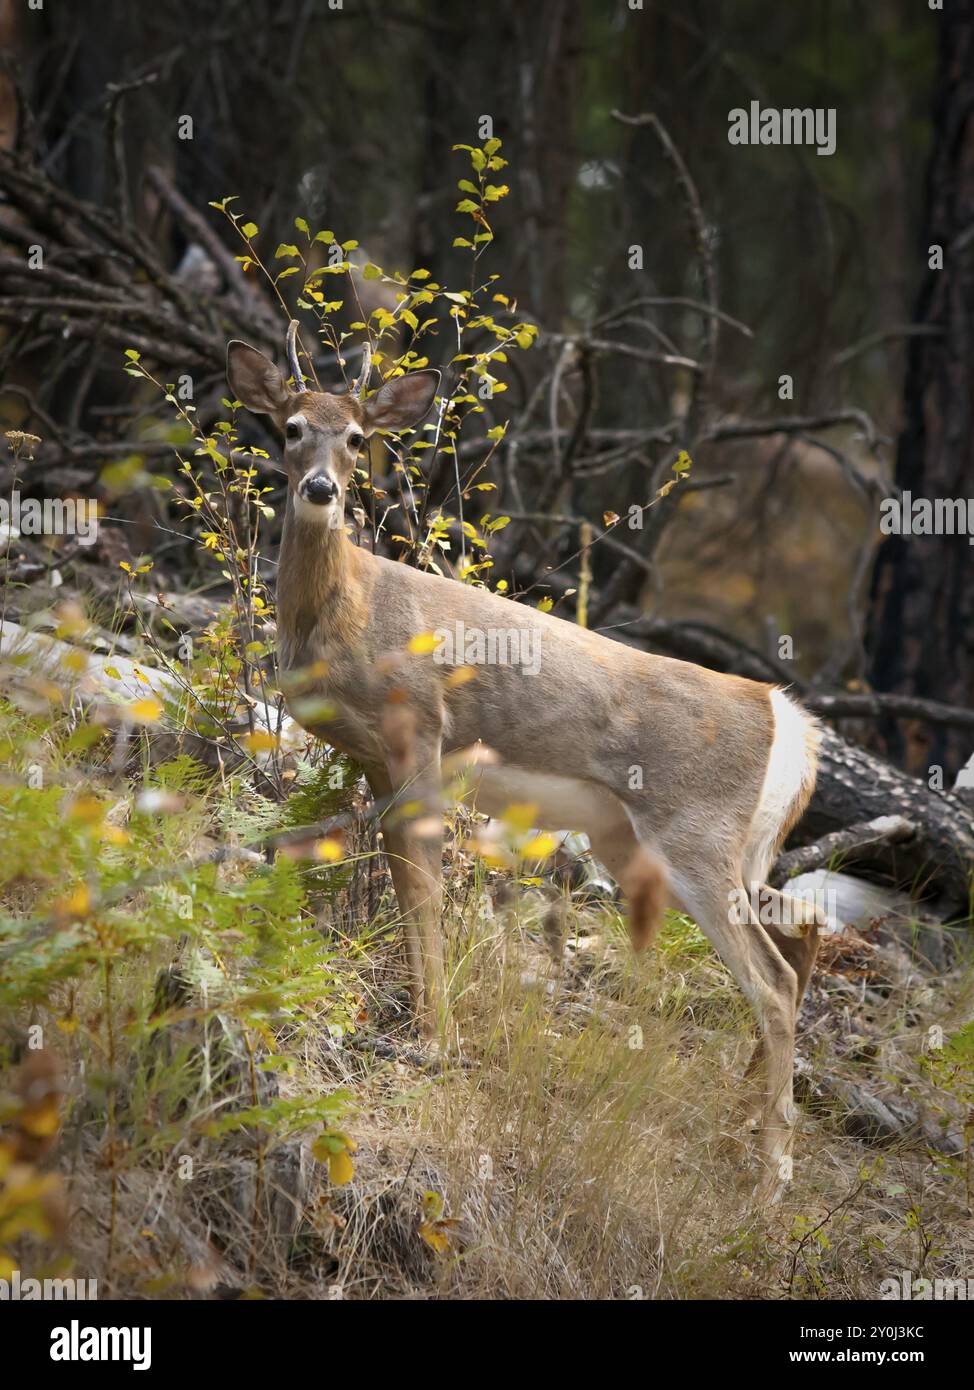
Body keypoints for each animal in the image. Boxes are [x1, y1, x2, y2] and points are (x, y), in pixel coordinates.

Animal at [229, 325, 828, 1195]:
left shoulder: (421, 729)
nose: (320, 489)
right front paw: (419, 1020)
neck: (347, 612)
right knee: (804, 932)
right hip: (673, 844)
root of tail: (788, 720)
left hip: (697, 834)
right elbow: (404, 886)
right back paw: (751, 1117)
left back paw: (771, 1170)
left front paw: (433, 1040)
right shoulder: (378, 761)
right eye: (290, 427)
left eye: (358, 438)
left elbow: (424, 895)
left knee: (775, 981)